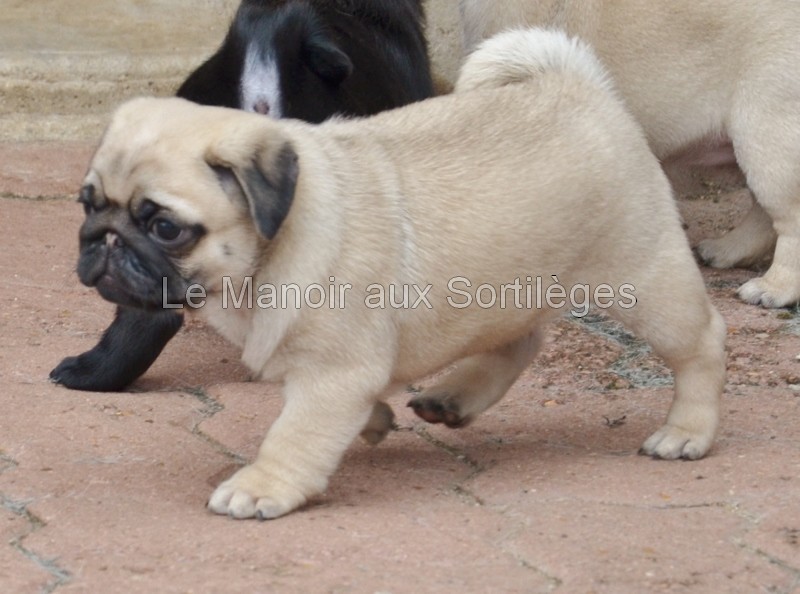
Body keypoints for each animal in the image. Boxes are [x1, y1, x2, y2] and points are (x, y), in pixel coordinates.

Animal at [73, 28, 724, 520]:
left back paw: (687, 432)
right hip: (511, 285)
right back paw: (454, 398)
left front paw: (263, 486)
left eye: (165, 227)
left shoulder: (335, 369)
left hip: (643, 276)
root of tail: (579, 84)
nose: (104, 241)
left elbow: (296, 431)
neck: (273, 245)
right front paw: (375, 418)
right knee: (520, 340)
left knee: (701, 343)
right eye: (88, 203)